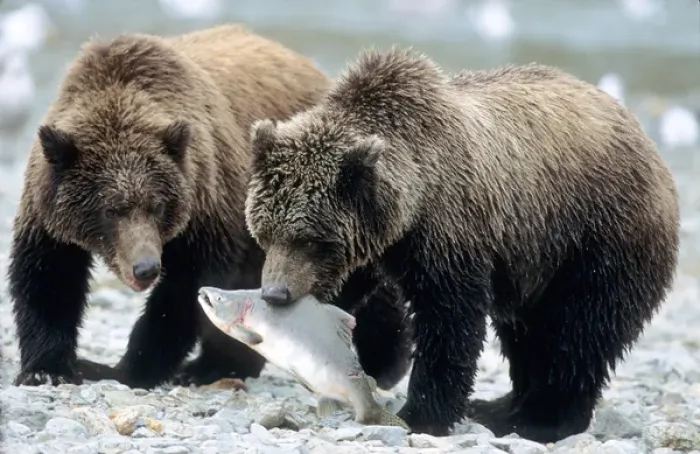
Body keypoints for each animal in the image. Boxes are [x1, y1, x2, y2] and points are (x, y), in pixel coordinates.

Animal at [8, 25, 412, 391]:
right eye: (111, 209)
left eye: (156, 205)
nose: (145, 267)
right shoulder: (48, 212)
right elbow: (49, 279)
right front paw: (48, 368)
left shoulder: (207, 202)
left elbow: (184, 290)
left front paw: (130, 367)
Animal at [243, 47, 681, 442]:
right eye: (264, 231)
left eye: (310, 240)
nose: (276, 293)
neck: (409, 206)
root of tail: (648, 144)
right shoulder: (374, 247)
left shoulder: (451, 231)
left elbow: (449, 321)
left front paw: (422, 414)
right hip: (537, 264)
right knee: (526, 334)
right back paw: (503, 406)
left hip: (596, 238)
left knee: (579, 334)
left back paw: (541, 419)